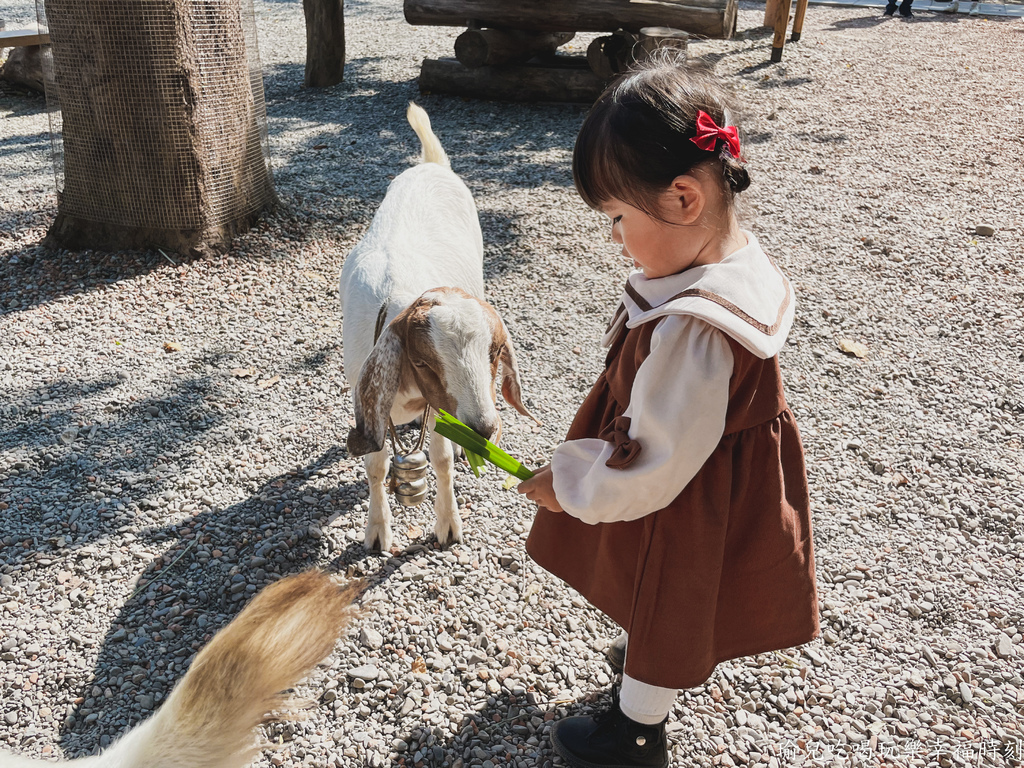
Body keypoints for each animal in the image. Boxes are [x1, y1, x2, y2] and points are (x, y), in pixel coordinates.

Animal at [342, 105, 540, 557]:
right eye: (421, 361)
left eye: (494, 353)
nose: (483, 429)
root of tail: (432, 164)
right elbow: (375, 463)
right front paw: (377, 530)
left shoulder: (441, 411)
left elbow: (443, 458)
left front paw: (448, 524)